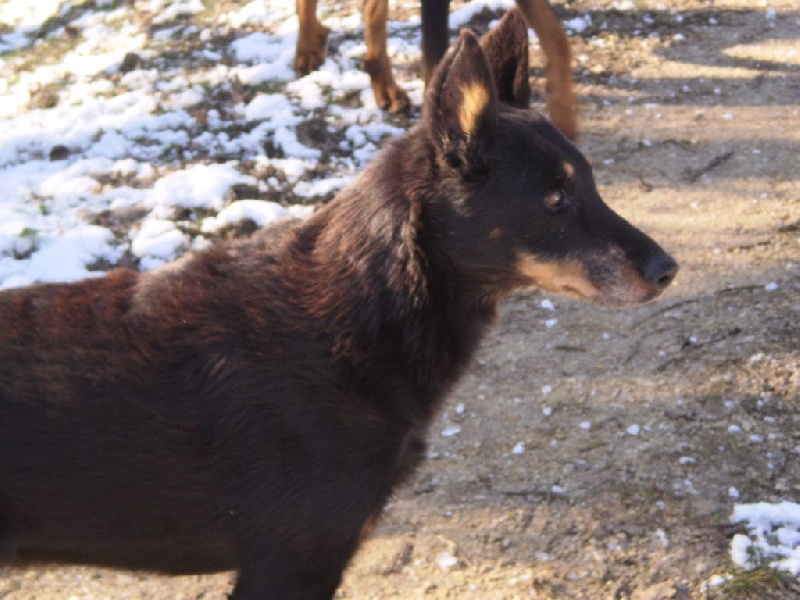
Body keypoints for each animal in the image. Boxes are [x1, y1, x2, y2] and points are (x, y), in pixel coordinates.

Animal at [294, 0, 576, 140]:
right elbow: (437, 68)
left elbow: (558, 38)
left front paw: (562, 116)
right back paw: (307, 47)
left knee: (372, 11)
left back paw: (383, 83)